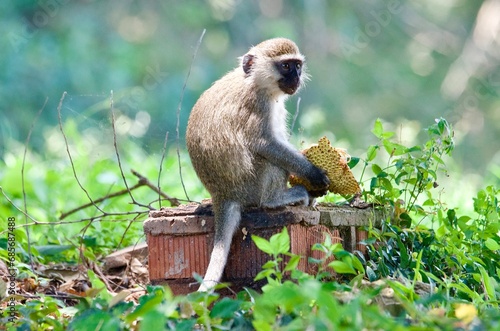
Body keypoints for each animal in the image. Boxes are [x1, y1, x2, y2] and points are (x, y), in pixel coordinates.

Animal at [186, 39, 330, 292]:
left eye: (297, 65)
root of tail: (222, 194)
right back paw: (277, 198)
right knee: (268, 160)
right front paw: (313, 174)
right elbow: (266, 144)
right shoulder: (257, 103)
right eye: (285, 66)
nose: (296, 77)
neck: (255, 81)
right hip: (250, 187)